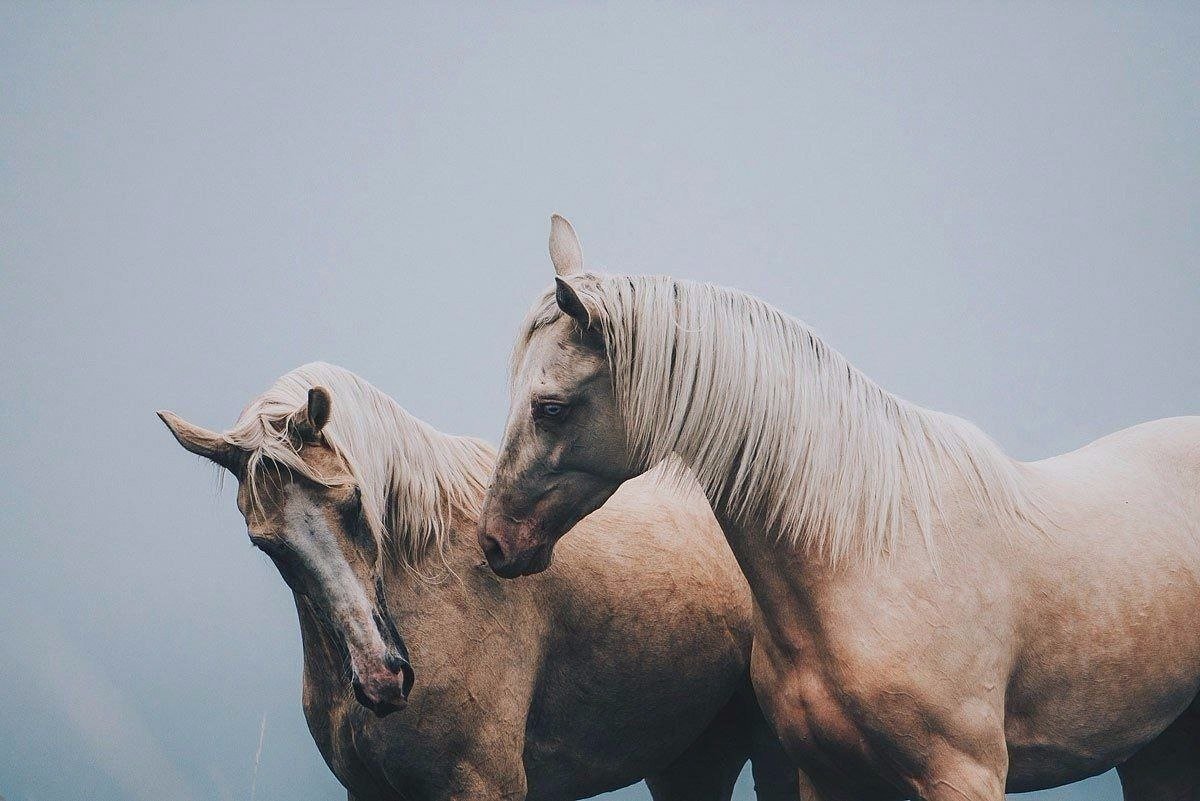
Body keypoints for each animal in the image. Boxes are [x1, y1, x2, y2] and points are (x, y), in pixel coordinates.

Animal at [478, 215, 1200, 801]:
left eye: (551, 407)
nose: (494, 541)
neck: (867, 555)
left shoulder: (964, 774)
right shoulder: (828, 775)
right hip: (1160, 751)